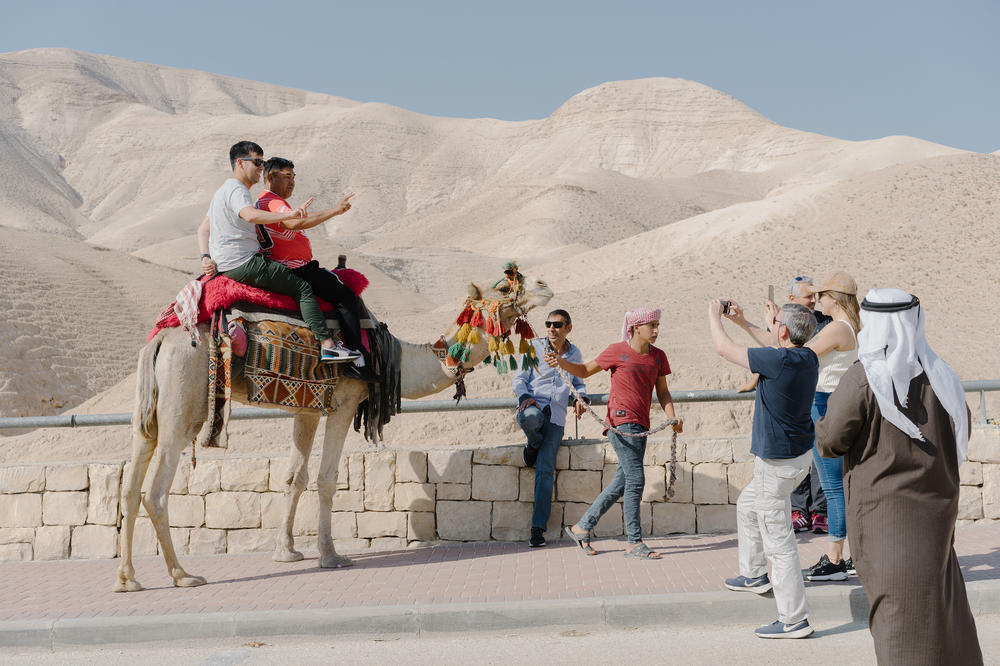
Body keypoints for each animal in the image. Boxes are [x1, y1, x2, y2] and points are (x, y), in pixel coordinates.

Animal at [118, 274, 560, 592]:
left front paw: (287, 552)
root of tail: (160, 341)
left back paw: (128, 579)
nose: (544, 286)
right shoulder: (344, 403)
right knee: (155, 492)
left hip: (148, 413)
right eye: (504, 286)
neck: (391, 356)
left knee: (130, 486)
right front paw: (329, 556)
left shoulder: (306, 407)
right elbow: (326, 479)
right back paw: (182, 575)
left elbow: (294, 477)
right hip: (183, 406)